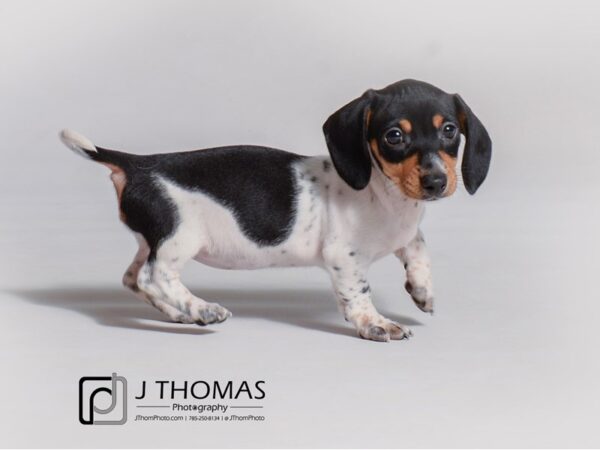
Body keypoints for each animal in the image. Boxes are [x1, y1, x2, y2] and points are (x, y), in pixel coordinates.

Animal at [61, 80, 492, 342]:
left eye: (450, 130)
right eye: (394, 136)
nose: (436, 182)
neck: (383, 193)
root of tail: (139, 165)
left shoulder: (406, 234)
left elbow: (418, 247)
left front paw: (422, 290)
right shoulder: (344, 258)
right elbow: (358, 294)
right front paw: (376, 324)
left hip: (150, 240)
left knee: (133, 279)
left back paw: (185, 314)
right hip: (178, 238)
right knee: (155, 277)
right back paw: (203, 309)